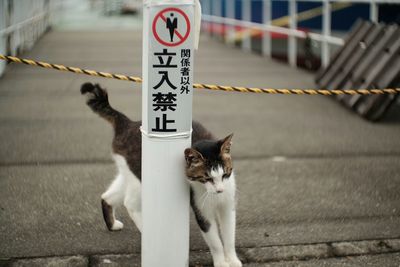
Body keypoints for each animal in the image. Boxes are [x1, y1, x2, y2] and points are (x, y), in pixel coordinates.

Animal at [81, 82, 242, 266]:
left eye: (226, 174)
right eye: (206, 178)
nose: (220, 190)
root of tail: (128, 124)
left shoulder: (228, 205)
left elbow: (229, 236)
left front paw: (233, 260)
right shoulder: (201, 210)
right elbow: (215, 241)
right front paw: (221, 262)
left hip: (128, 171)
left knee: (108, 196)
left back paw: (112, 224)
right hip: (140, 176)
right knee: (129, 202)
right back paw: (145, 230)